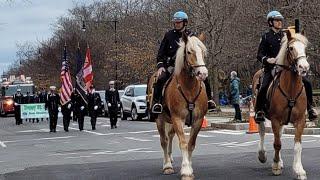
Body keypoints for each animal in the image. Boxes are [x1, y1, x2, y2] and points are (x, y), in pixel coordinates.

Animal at [149, 33, 209, 179]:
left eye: (203, 52)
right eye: (189, 52)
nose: (203, 73)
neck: (189, 87)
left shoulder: (198, 120)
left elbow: (191, 144)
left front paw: (189, 167)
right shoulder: (177, 118)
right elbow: (183, 143)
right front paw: (186, 170)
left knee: (170, 136)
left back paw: (170, 159)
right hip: (160, 119)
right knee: (164, 140)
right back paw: (167, 165)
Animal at [254, 30, 308, 179]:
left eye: (305, 48)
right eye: (291, 48)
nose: (304, 67)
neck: (291, 88)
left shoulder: (300, 120)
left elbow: (297, 145)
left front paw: (299, 170)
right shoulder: (275, 120)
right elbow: (277, 144)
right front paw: (276, 166)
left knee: (279, 134)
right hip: (261, 115)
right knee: (262, 132)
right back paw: (262, 155)